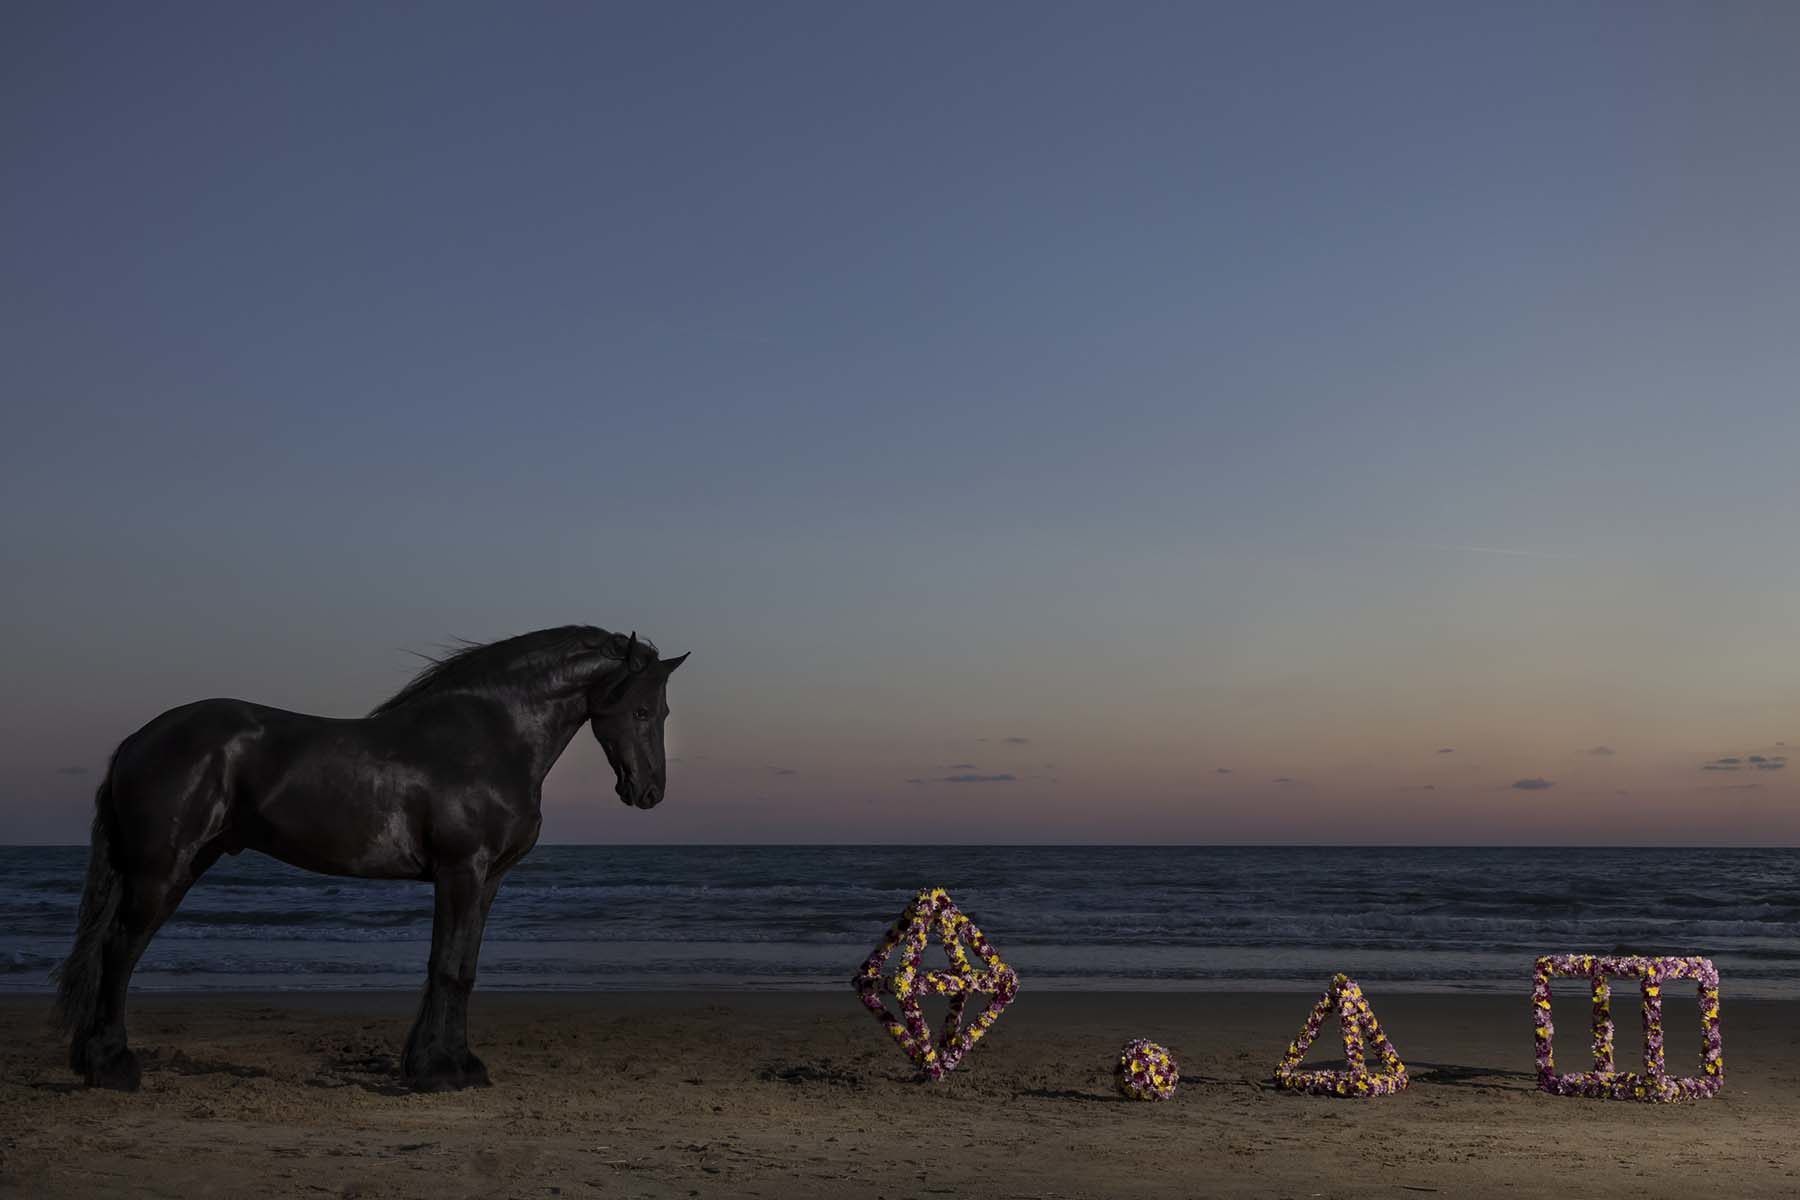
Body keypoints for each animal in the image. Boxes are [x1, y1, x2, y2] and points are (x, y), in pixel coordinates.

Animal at [54, 633, 687, 1093]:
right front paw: (438, 1073)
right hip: (161, 870)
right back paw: (112, 1066)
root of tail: (138, 740)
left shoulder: (487, 881)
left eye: (662, 711)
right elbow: (447, 968)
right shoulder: (461, 871)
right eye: (640, 710)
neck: (490, 739)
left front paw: (457, 1064)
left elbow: (462, 969)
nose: (650, 791)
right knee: (119, 951)